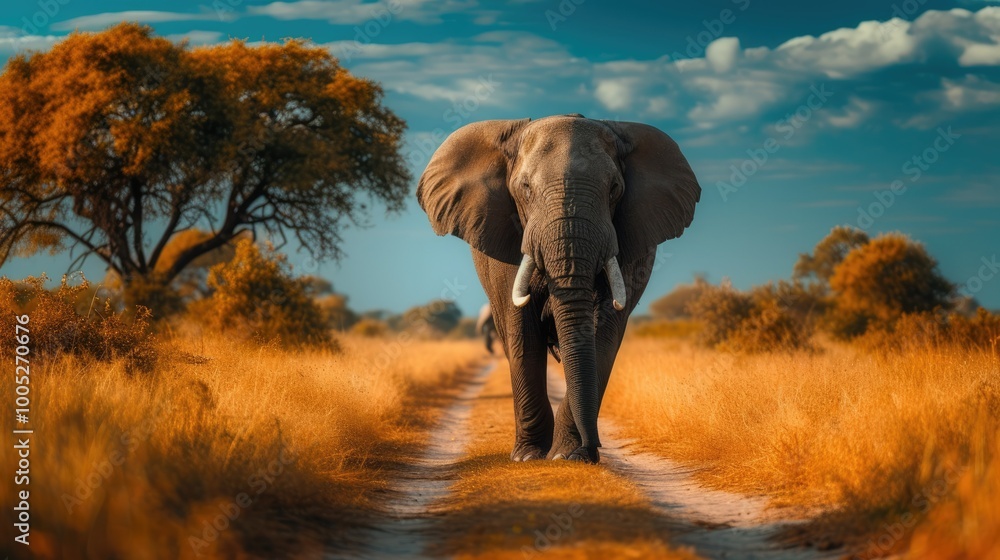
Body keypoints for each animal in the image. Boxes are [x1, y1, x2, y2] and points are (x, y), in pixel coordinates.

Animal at [417, 114, 700, 463]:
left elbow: (603, 333)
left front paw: (566, 455)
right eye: (525, 189)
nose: (593, 449)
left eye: (615, 189)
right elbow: (522, 330)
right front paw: (528, 457)